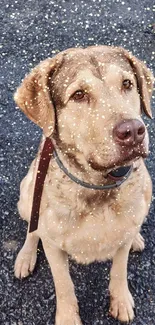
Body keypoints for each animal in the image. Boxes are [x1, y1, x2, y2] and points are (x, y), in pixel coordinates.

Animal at [13, 45, 153, 322]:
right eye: (79, 95)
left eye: (127, 84)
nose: (133, 131)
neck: (97, 185)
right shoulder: (53, 246)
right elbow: (64, 285)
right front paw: (68, 318)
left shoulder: (122, 235)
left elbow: (119, 269)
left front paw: (121, 300)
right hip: (26, 193)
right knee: (32, 229)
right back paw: (25, 255)